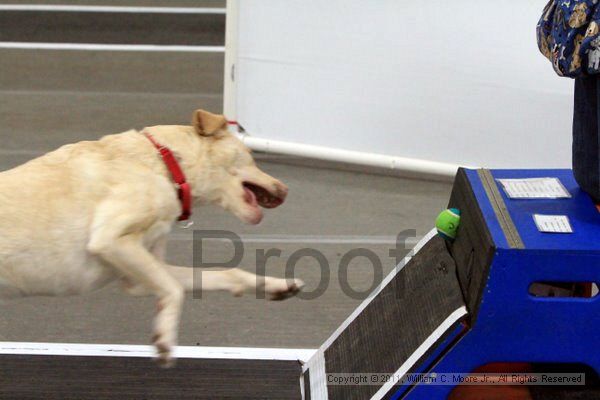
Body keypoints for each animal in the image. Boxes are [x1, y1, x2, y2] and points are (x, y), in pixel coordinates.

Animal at [0, 108, 302, 366]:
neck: (167, 165)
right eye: (250, 153)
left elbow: (227, 274)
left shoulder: (138, 275)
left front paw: (278, 286)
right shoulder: (112, 240)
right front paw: (165, 338)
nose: (286, 190)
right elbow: (175, 289)